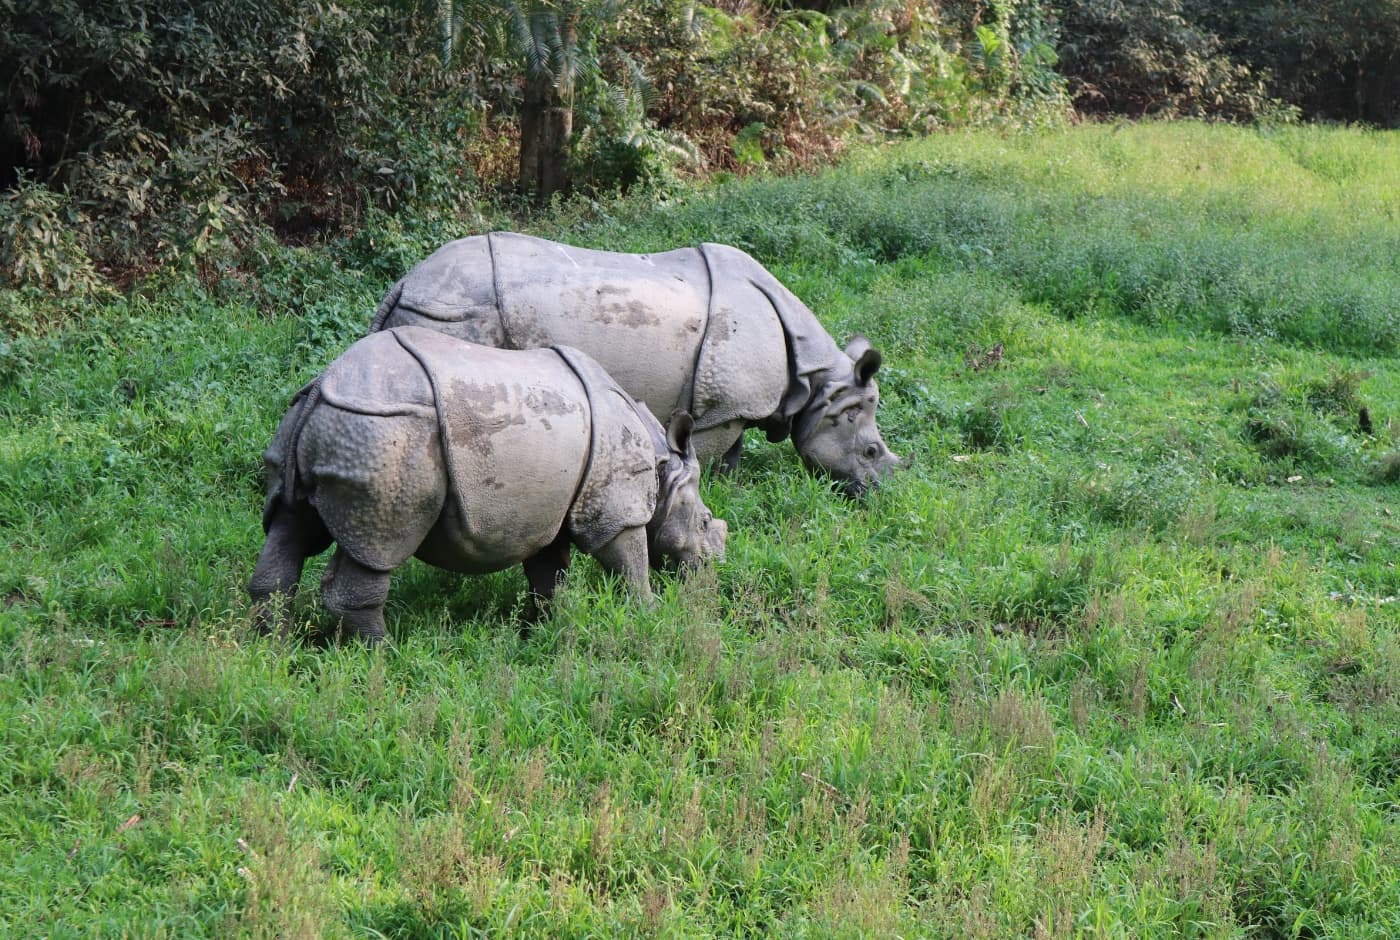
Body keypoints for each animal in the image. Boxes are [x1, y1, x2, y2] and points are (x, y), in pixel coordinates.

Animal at [250, 327, 728, 644]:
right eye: (706, 522)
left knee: (289, 526)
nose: (710, 569)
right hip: (384, 433)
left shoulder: (548, 512)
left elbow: (548, 575)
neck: (663, 467)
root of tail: (322, 389)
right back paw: (378, 656)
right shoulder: (614, 507)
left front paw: (545, 627)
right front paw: (651, 613)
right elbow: (630, 563)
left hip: (323, 425)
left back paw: (272, 649)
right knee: (378, 545)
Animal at [369, 233, 896, 498]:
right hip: (458, 313)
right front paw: (710, 496)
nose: (875, 493)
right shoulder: (720, 409)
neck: (818, 380)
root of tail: (403, 283)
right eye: (871, 451)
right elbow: (710, 456)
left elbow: (733, 454)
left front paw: (731, 488)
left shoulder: (733, 405)